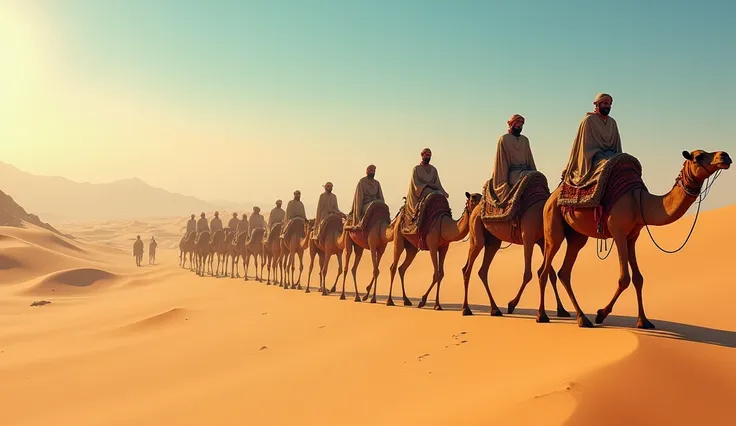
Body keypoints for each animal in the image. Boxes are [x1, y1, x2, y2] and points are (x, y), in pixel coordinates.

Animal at [460, 172, 568, 316]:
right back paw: (466, 309)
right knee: (468, 267)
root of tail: (476, 211)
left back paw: (495, 309)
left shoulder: (542, 242)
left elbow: (550, 273)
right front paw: (511, 304)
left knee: (482, 270)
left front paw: (562, 310)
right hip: (477, 233)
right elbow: (528, 274)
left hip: (493, 241)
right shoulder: (528, 238)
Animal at [536, 151, 732, 330]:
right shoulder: (618, 232)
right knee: (544, 269)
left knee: (564, 271)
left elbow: (639, 278)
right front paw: (601, 314)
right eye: (699, 156)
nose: (725, 156)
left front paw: (644, 321)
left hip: (577, 236)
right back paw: (543, 316)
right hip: (553, 225)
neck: (638, 203)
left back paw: (582, 318)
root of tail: (551, 197)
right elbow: (625, 278)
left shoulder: (633, 236)